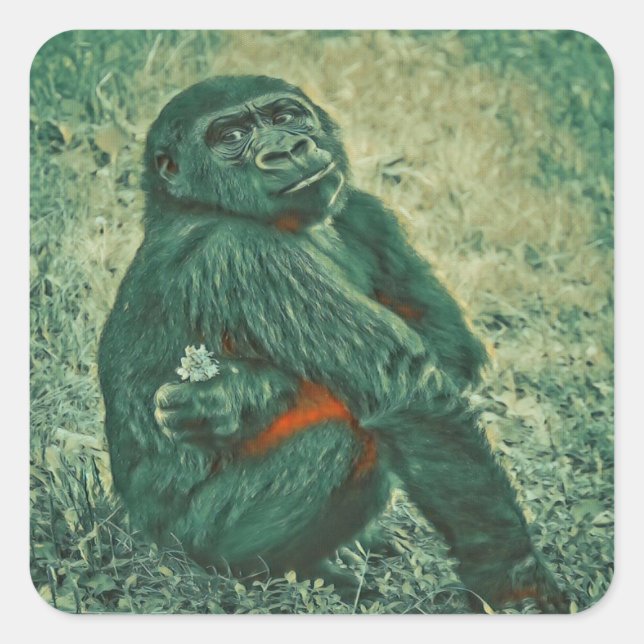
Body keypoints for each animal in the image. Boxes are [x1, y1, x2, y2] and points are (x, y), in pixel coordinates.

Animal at [98, 75, 565, 612]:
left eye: (285, 117)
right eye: (231, 137)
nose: (286, 149)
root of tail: (144, 532)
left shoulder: (364, 209)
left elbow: (450, 340)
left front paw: (229, 397)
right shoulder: (243, 254)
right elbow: (407, 390)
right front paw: (514, 579)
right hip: (191, 539)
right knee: (346, 439)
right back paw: (287, 570)